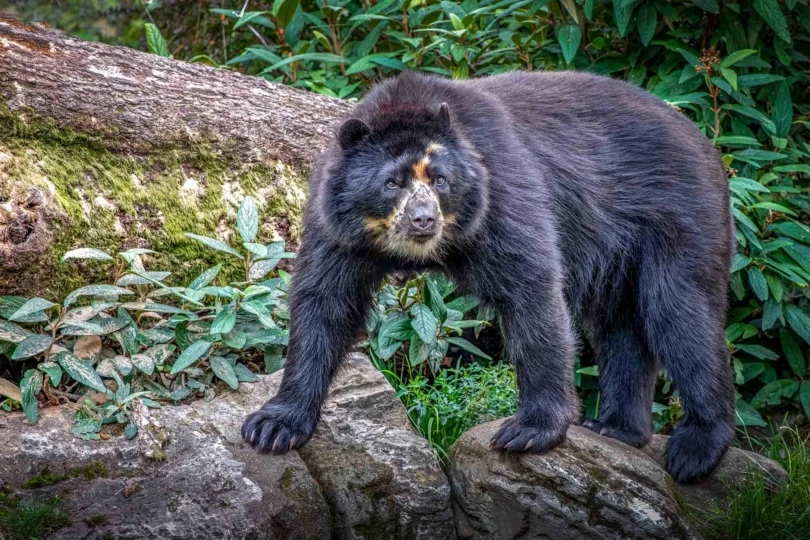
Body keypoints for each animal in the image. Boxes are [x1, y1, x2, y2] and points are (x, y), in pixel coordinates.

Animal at [242, 70, 736, 484]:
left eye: (440, 180)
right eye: (391, 183)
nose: (423, 220)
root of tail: (703, 140)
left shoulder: (499, 193)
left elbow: (532, 289)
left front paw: (529, 430)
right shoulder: (338, 228)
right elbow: (323, 302)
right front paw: (272, 426)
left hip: (680, 215)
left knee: (680, 312)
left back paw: (695, 449)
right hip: (619, 248)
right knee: (621, 324)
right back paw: (616, 428)